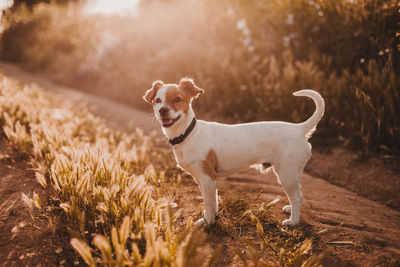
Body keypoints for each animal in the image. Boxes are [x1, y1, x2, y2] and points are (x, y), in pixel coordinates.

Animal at [144, 78, 324, 227]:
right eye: (157, 100)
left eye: (177, 99)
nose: (162, 110)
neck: (189, 134)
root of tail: (299, 129)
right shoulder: (202, 180)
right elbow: (212, 202)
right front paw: (211, 217)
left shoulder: (208, 178)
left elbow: (209, 203)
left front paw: (207, 222)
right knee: (296, 196)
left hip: (287, 174)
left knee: (298, 196)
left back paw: (293, 221)